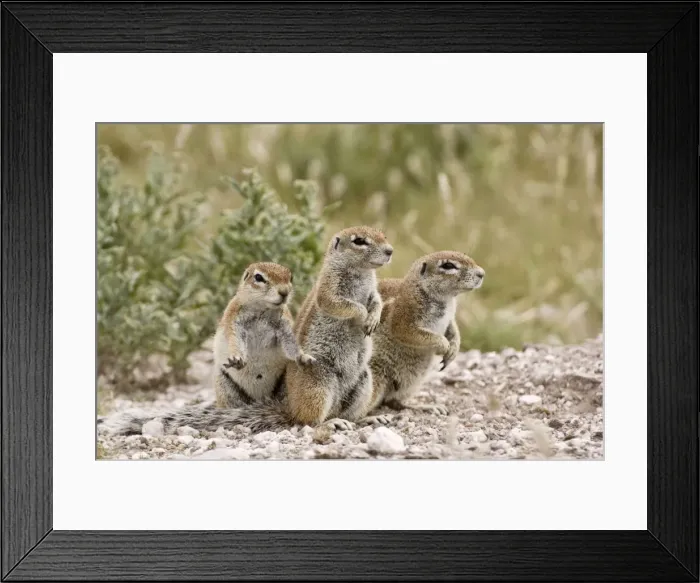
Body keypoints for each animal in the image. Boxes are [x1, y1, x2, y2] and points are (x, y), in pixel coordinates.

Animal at [285, 226, 394, 430]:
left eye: (383, 235)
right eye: (359, 241)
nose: (390, 251)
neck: (362, 271)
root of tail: (291, 410)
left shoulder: (373, 290)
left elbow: (377, 301)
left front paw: (373, 319)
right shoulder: (329, 288)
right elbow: (345, 305)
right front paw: (363, 317)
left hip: (364, 382)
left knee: (351, 416)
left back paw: (368, 419)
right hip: (318, 385)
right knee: (309, 421)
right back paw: (331, 422)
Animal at [367, 251, 484, 417]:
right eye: (448, 265)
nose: (482, 273)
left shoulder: (450, 319)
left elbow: (453, 330)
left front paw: (453, 350)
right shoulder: (404, 315)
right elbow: (410, 333)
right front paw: (444, 345)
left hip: (411, 383)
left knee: (394, 402)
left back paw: (423, 406)